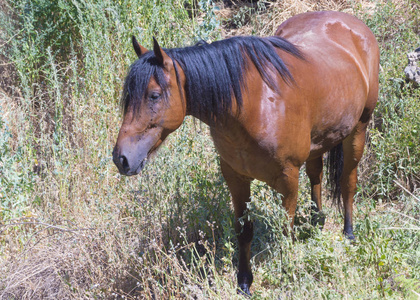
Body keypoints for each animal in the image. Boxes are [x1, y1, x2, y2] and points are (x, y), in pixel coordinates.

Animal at [112, 11, 380, 292]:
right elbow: (244, 230)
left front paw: (287, 273)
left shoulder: (288, 177)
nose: (121, 158)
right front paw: (243, 282)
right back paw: (316, 222)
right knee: (316, 174)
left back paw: (348, 233)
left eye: (154, 95)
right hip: (320, 139)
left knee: (348, 180)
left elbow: (284, 228)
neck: (255, 104)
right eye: (128, 97)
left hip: (359, 128)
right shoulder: (236, 177)